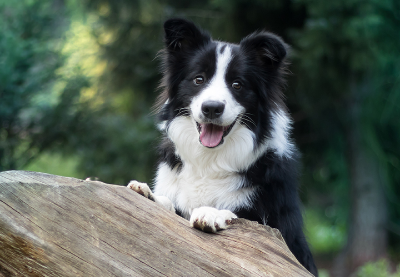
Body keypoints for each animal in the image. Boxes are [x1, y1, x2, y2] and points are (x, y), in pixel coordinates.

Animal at [128, 18, 318, 274]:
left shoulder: (278, 231)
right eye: (199, 79)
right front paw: (147, 193)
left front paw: (210, 212)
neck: (209, 159)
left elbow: (241, 217)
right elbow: (170, 205)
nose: (212, 108)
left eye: (237, 84)